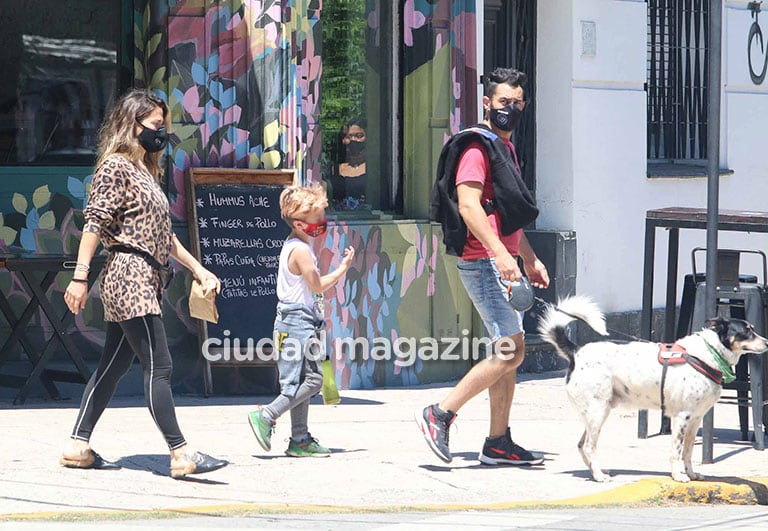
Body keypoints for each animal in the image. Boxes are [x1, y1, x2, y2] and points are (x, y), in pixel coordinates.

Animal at [536, 298, 768, 484]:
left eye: (752, 328)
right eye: (747, 331)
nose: (766, 342)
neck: (709, 354)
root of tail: (576, 352)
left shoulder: (695, 419)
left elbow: (688, 451)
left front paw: (691, 473)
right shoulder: (681, 417)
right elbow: (676, 451)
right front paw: (678, 476)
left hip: (598, 412)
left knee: (581, 445)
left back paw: (597, 472)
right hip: (597, 412)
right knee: (588, 446)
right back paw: (599, 476)